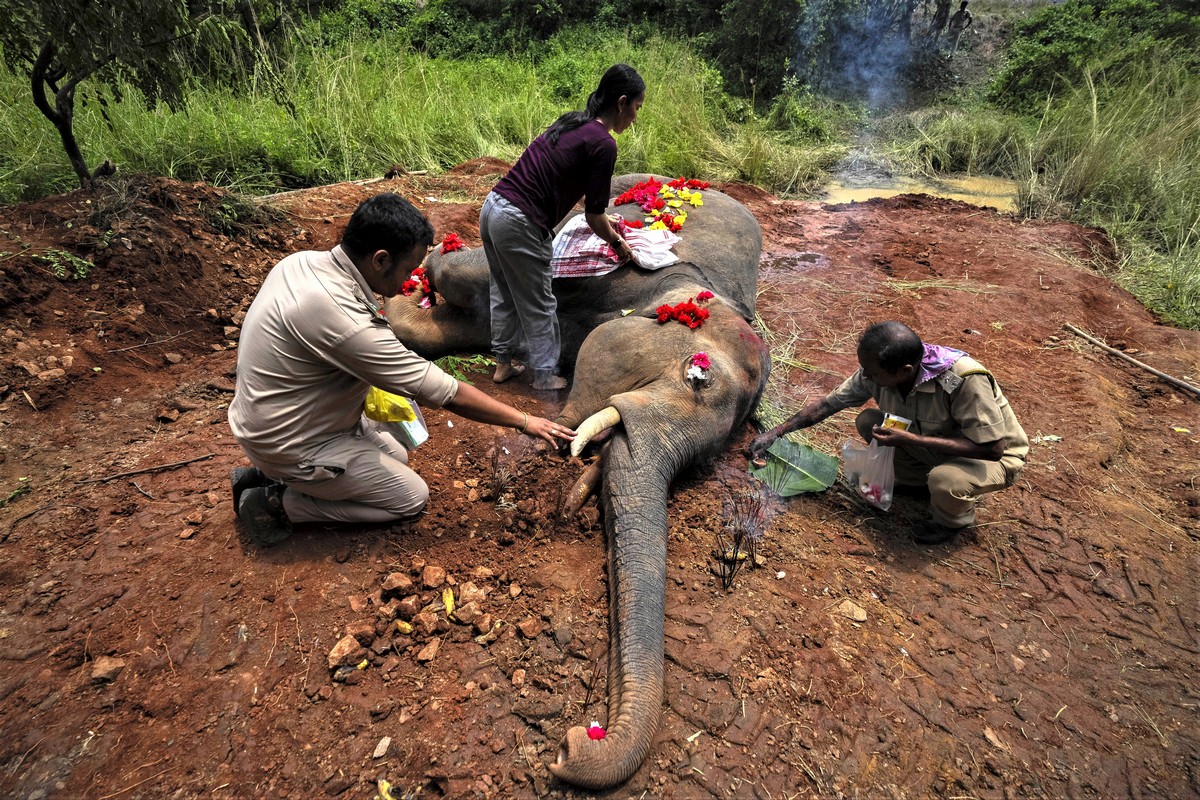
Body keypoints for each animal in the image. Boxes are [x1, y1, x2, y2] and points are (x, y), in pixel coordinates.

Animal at [384, 173, 768, 786]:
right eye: (696, 376)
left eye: (707, 462)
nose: (571, 747)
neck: (694, 292)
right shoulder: (608, 281)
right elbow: (466, 280)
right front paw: (418, 287)